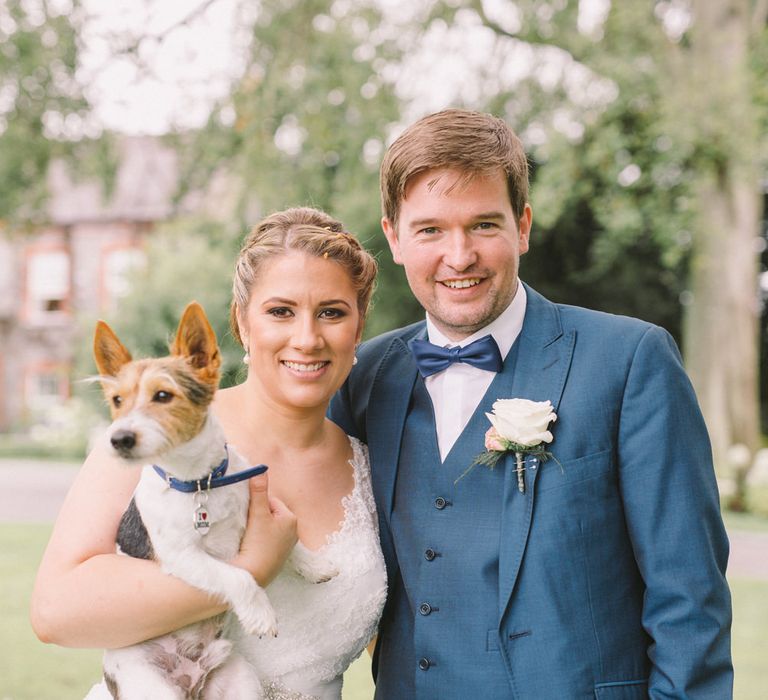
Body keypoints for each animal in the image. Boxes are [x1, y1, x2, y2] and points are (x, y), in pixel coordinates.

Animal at [88, 302, 332, 700]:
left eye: (163, 395)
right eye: (117, 401)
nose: (119, 439)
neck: (200, 482)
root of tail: (191, 682)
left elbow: (293, 544)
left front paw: (316, 565)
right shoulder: (183, 557)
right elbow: (236, 575)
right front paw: (261, 613)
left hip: (240, 682)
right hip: (150, 686)